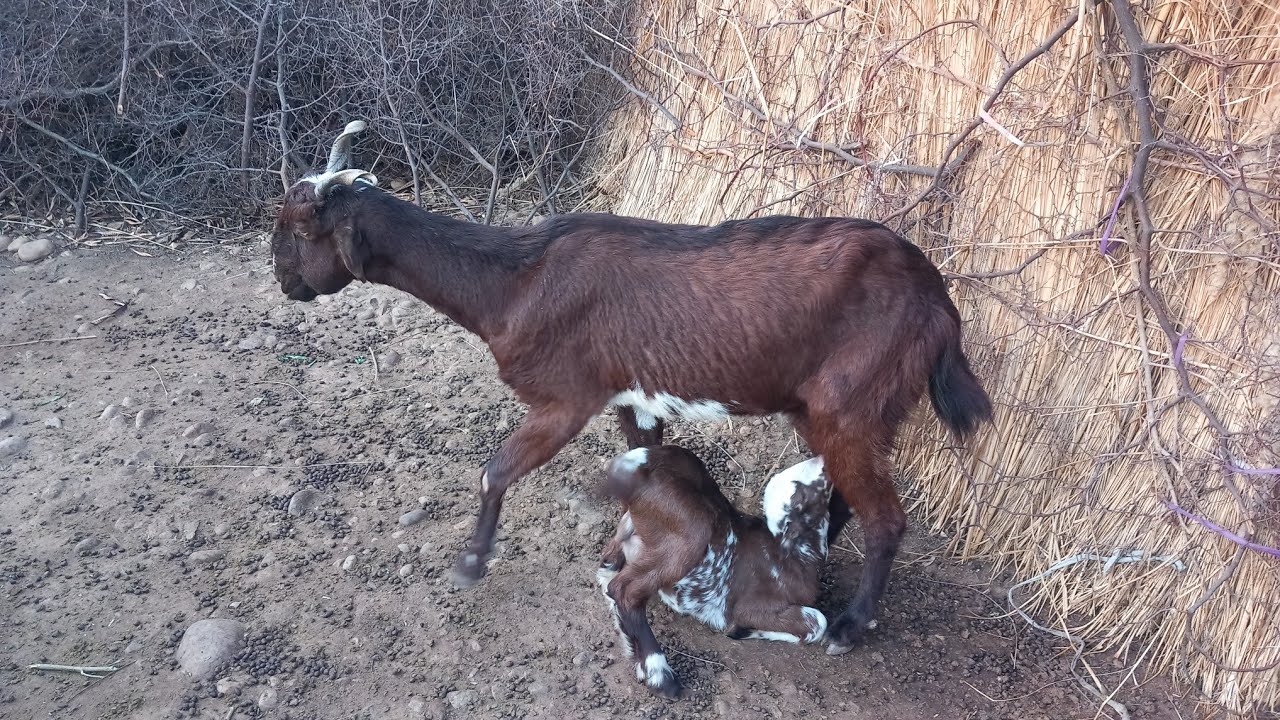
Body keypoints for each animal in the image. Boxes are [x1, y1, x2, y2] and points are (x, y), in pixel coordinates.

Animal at [269, 120, 994, 655]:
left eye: (300, 229)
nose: (283, 280)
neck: (512, 283)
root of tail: (940, 303)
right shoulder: (632, 399)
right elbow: (641, 463)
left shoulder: (566, 399)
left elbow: (495, 470)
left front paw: (472, 564)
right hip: (836, 410)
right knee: (848, 498)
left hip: (852, 404)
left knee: (886, 519)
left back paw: (846, 627)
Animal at [596, 445, 832, 698]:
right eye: (805, 494)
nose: (822, 460)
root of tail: (636, 463)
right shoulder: (753, 605)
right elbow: (818, 622)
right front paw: (743, 631)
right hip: (690, 530)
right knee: (624, 590)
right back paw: (660, 675)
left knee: (608, 568)